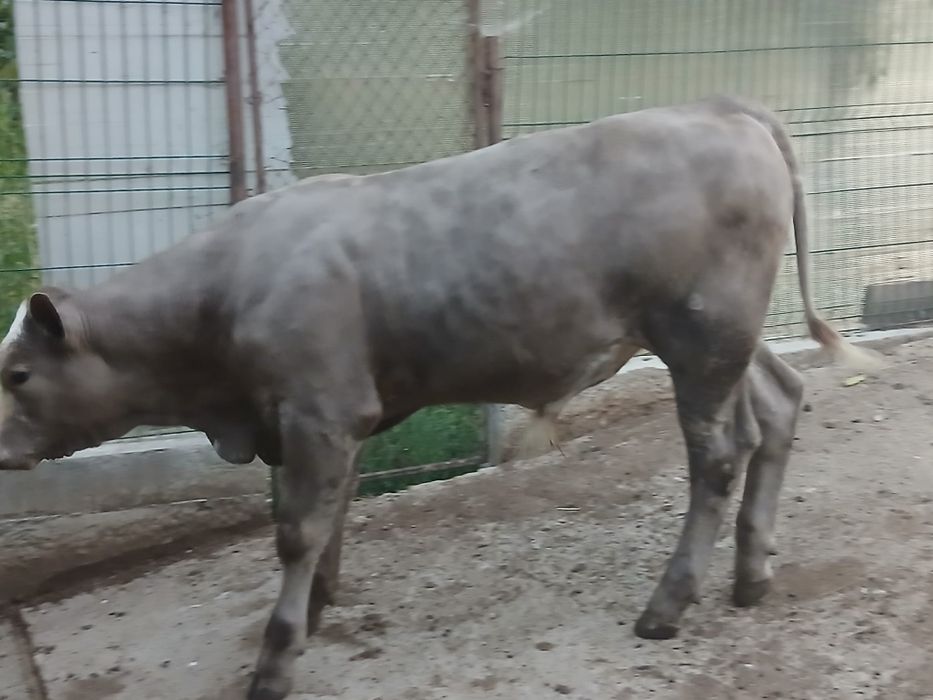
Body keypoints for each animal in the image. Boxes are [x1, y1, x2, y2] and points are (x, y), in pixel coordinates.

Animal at [0, 96, 880, 699]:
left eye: (17, 374)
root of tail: (719, 107)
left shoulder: (320, 409)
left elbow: (296, 529)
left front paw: (278, 656)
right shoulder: (315, 416)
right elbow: (329, 515)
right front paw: (316, 608)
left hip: (700, 338)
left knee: (716, 458)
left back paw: (668, 604)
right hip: (727, 338)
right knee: (777, 406)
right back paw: (751, 572)